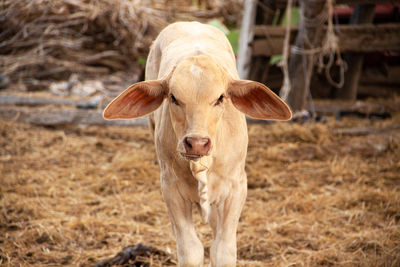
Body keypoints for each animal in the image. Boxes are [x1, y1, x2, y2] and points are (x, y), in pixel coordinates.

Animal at [103, 22, 290, 266]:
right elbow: (191, 249)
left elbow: (223, 249)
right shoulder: (170, 188)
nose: (197, 143)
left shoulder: (236, 187)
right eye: (173, 98)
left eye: (220, 98)